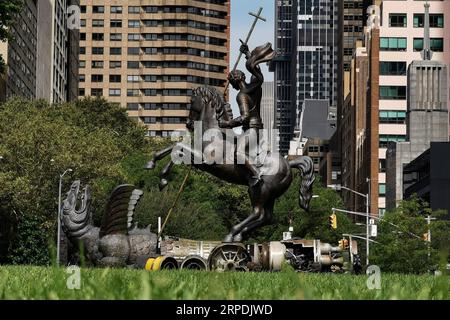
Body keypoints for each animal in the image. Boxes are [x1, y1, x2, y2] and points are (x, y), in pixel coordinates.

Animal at [146, 86, 314, 241]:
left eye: (192, 101)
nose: (188, 124)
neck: (214, 133)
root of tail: (288, 163)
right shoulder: (198, 161)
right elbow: (175, 148)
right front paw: (155, 168)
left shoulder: (204, 160)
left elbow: (178, 147)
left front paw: (161, 177)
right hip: (270, 195)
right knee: (266, 217)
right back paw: (239, 235)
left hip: (259, 190)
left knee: (257, 212)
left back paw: (232, 234)